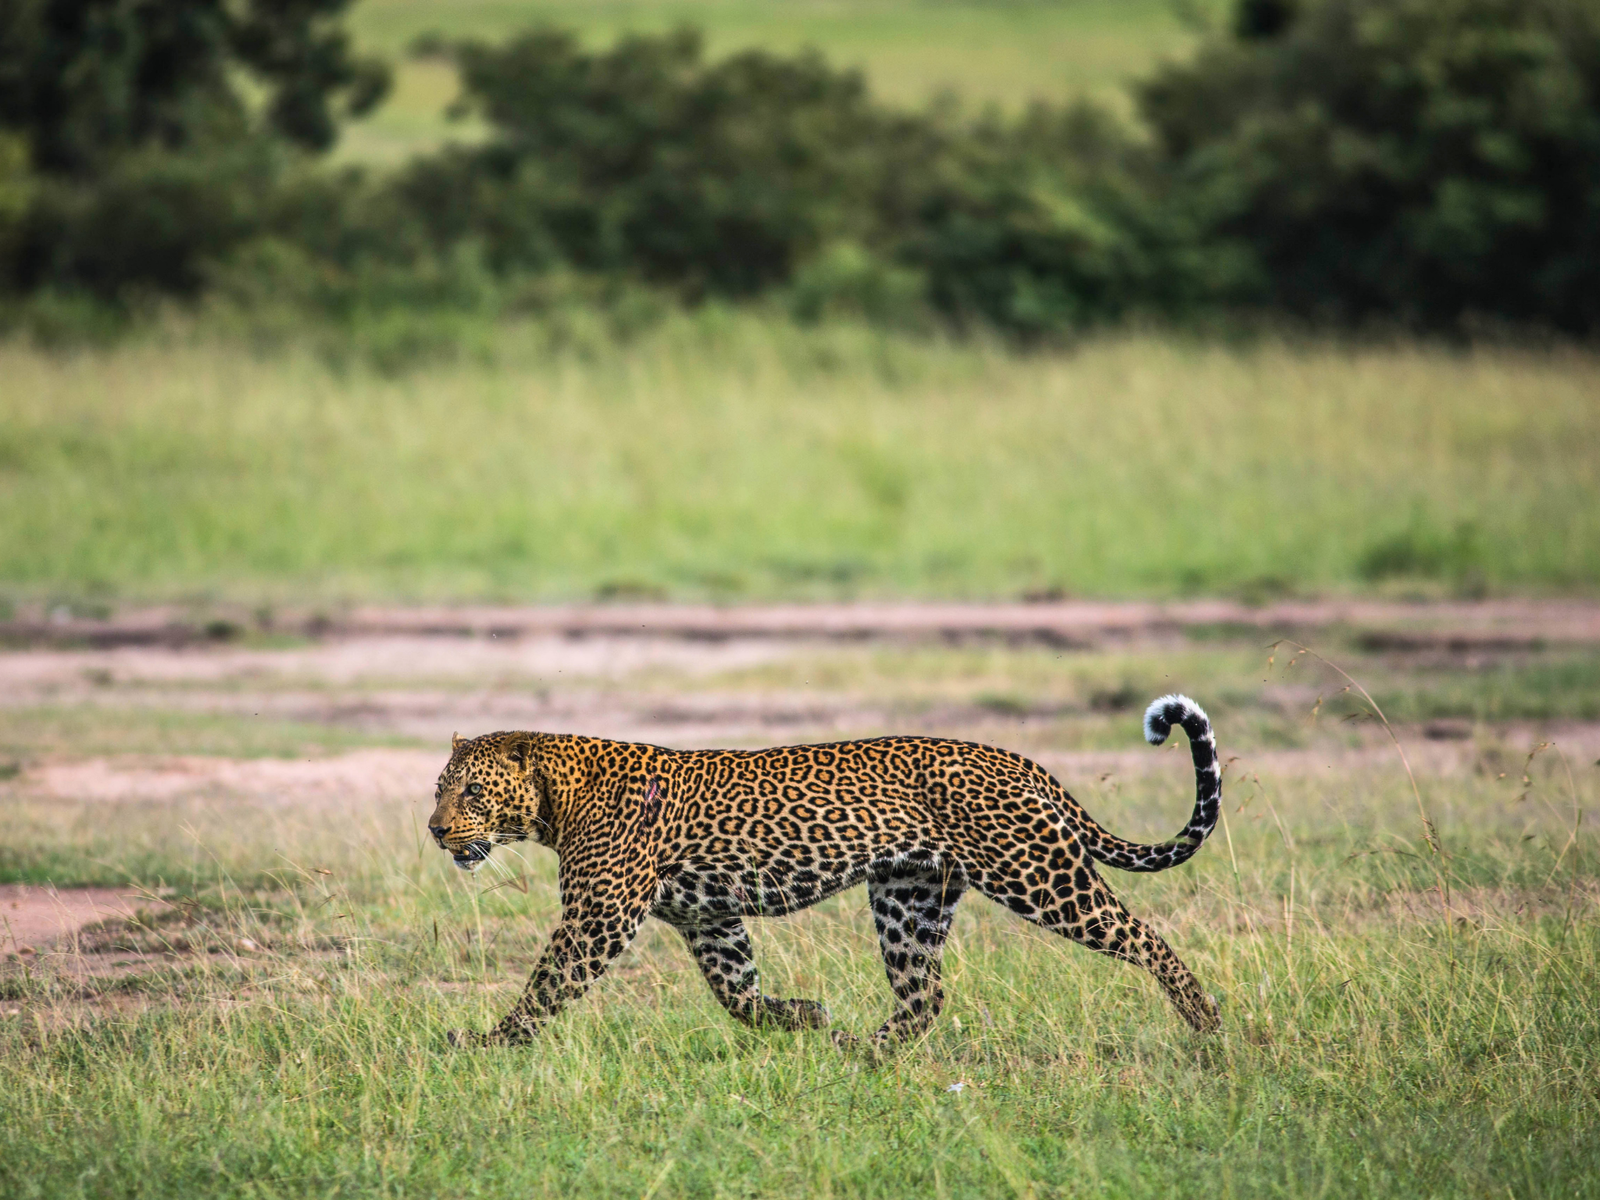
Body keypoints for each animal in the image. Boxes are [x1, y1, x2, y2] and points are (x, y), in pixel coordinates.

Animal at [428, 693, 1222, 1048]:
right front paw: (802, 1018)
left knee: (1143, 936)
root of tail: (1021, 760)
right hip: (907, 899)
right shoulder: (709, 918)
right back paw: (861, 1051)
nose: (435, 830)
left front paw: (486, 1045)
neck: (555, 800)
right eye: (439, 787)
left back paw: (1207, 1025)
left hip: (1038, 873)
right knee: (926, 993)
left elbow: (546, 985)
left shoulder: (599, 915)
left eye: (470, 792)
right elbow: (735, 992)